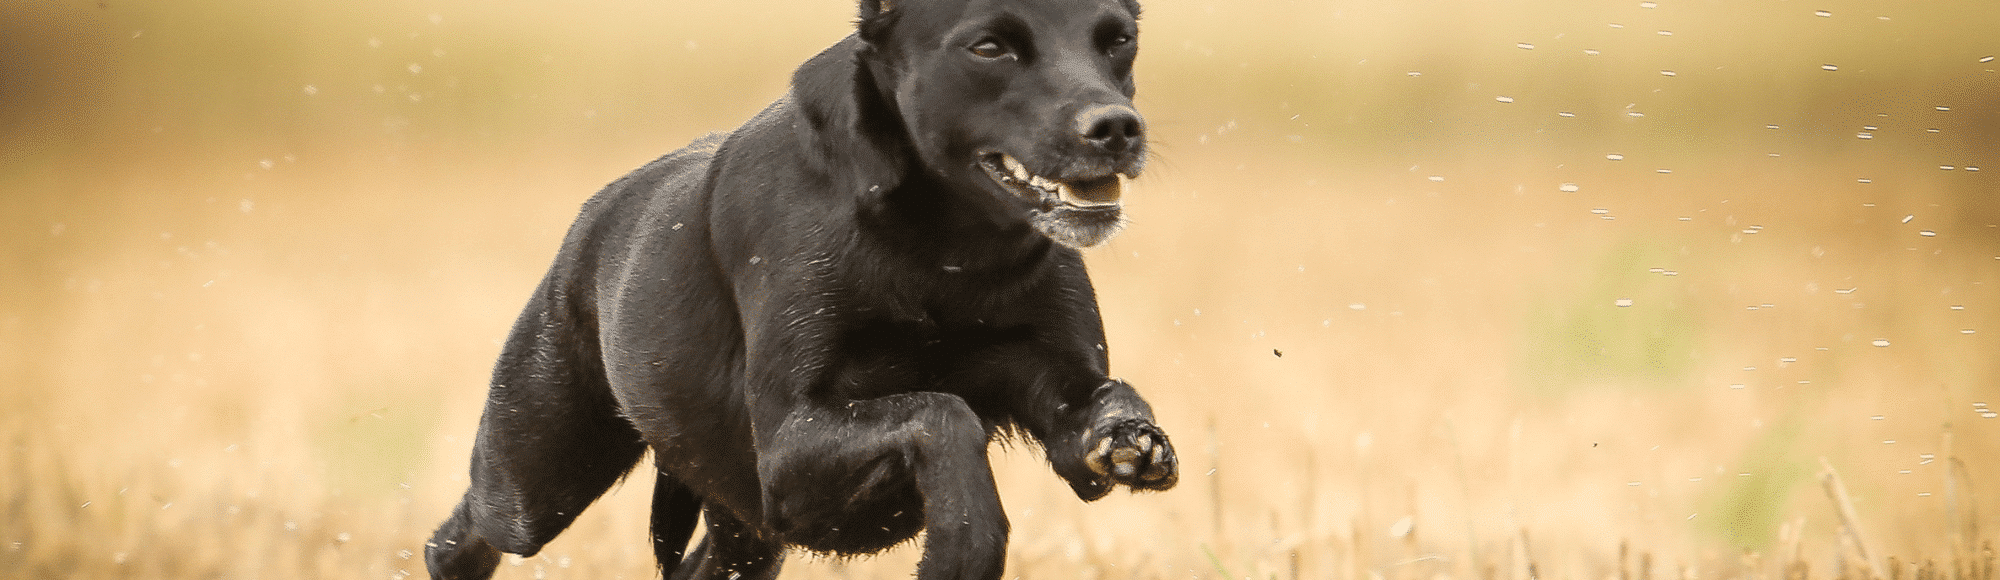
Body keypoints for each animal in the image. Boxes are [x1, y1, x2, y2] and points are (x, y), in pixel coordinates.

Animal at [422, 0, 1168, 576]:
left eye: (1118, 38)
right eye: (989, 47)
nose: (1117, 128)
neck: (945, 251)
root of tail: (593, 218)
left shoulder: (1058, 396)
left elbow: (1106, 403)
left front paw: (1133, 440)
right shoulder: (787, 449)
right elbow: (942, 412)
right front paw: (964, 543)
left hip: (743, 532)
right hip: (540, 476)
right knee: (462, 538)